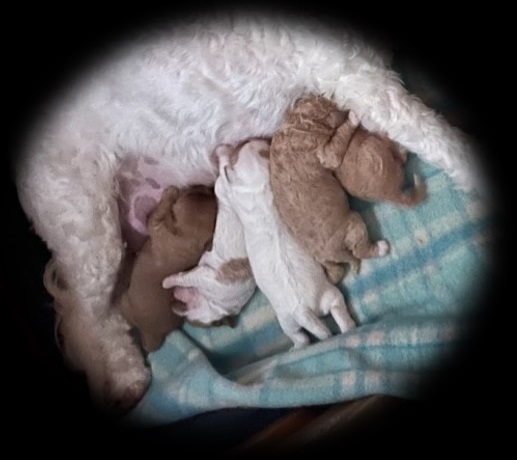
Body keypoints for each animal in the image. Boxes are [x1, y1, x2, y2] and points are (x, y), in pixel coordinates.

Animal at [118, 185, 217, 350]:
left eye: (189, 193)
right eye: (202, 193)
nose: (206, 186)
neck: (187, 241)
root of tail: (152, 335)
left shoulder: (156, 225)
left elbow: (157, 212)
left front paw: (170, 193)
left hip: (125, 301)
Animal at [162, 146, 256, 326]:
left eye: (196, 323)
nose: (170, 302)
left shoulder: (205, 275)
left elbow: (182, 277)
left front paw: (166, 282)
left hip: (221, 188)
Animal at [214, 138, 354, 346]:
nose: (261, 139)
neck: (256, 185)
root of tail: (304, 311)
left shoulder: (232, 190)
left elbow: (223, 176)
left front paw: (221, 152)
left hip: (291, 319)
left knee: (302, 337)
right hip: (316, 305)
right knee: (331, 317)